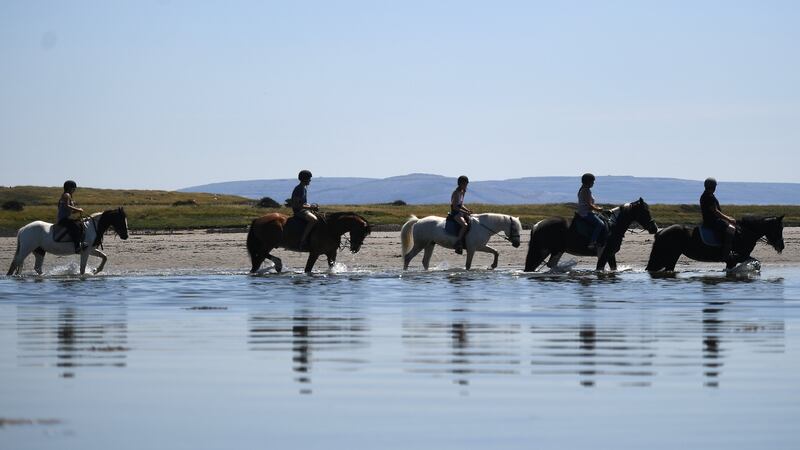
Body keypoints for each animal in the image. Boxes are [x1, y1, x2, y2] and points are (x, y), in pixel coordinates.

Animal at [524, 198, 658, 272]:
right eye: (645, 211)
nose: (654, 228)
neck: (613, 226)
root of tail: (537, 225)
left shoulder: (610, 254)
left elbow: (613, 268)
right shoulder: (604, 254)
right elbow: (599, 268)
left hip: (553, 251)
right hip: (546, 250)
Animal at [646, 215, 785, 272]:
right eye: (779, 228)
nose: (781, 246)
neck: (745, 233)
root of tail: (661, 232)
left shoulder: (733, 259)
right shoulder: (737, 257)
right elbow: (755, 261)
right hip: (671, 256)